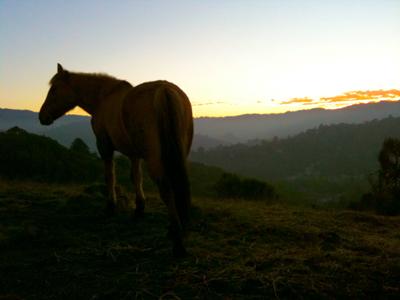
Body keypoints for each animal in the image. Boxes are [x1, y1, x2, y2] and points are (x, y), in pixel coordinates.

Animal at [39, 63, 194, 255]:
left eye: (54, 90)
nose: (42, 116)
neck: (103, 98)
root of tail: (164, 90)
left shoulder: (104, 146)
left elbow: (110, 176)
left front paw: (111, 207)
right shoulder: (134, 155)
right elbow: (136, 178)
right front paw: (139, 209)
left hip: (155, 159)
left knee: (166, 189)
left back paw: (177, 242)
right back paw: (175, 229)